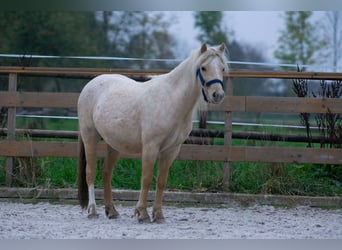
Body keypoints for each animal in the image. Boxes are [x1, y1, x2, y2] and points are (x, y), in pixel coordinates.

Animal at [77, 43, 227, 223]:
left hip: (114, 144)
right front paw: (142, 213)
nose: (218, 95)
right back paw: (92, 210)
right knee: (91, 172)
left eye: (223, 68)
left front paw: (158, 215)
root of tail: (90, 84)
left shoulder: (171, 150)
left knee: (106, 173)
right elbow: (146, 179)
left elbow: (161, 181)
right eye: (203, 68)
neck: (171, 101)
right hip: (90, 136)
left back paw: (111, 211)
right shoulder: (151, 147)